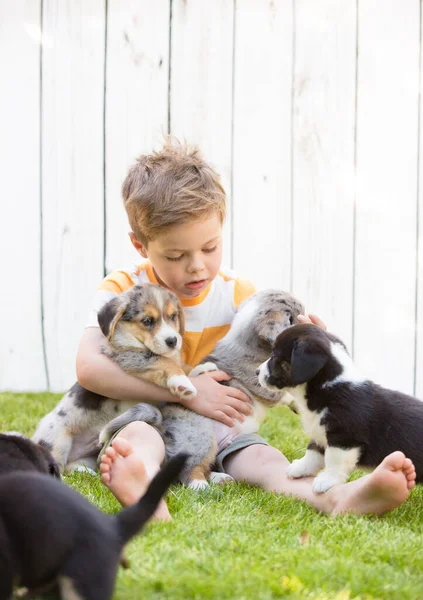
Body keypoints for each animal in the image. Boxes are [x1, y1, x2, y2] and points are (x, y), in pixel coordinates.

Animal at [32, 284, 197, 472]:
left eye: (173, 316)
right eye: (147, 321)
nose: (173, 340)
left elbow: (182, 363)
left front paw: (203, 368)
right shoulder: (128, 357)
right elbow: (163, 361)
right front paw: (183, 383)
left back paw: (85, 470)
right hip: (58, 439)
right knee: (60, 466)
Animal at [102, 288, 304, 486]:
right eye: (295, 315)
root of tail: (162, 423)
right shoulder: (259, 380)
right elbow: (284, 393)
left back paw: (219, 478)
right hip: (201, 437)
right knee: (188, 470)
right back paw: (200, 484)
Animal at [256, 324, 423, 492]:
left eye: (274, 355)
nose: (256, 371)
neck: (326, 386)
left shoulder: (343, 438)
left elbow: (333, 459)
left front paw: (326, 480)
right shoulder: (319, 432)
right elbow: (313, 451)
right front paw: (299, 468)